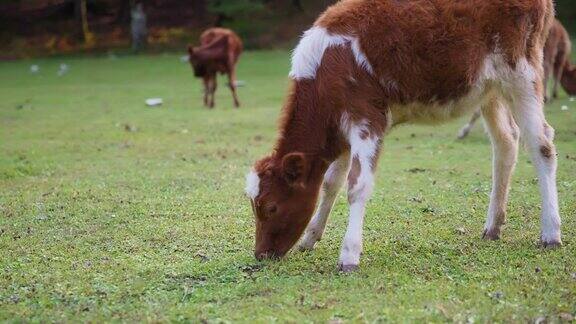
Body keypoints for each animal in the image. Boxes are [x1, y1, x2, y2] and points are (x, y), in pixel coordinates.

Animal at [245, 0, 560, 270]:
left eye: (271, 207)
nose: (261, 254)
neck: (327, 67)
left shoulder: (367, 120)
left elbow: (357, 186)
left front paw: (349, 255)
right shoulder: (341, 130)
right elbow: (331, 183)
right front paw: (311, 237)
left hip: (522, 72)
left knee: (542, 144)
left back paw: (551, 232)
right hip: (489, 90)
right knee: (506, 142)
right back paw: (493, 226)